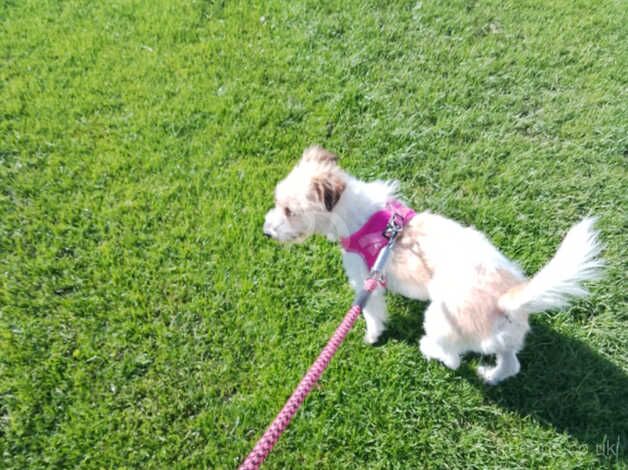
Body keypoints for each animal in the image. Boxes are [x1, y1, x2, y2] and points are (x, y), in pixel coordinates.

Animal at [262, 147, 600, 386]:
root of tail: (508, 297)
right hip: (505, 339)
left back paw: (427, 349)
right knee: (510, 363)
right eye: (278, 202)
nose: (266, 232)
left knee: (450, 358)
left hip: (441, 321)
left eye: (289, 210)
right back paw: (490, 376)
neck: (359, 216)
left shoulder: (366, 282)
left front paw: (372, 337)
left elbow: (372, 314)